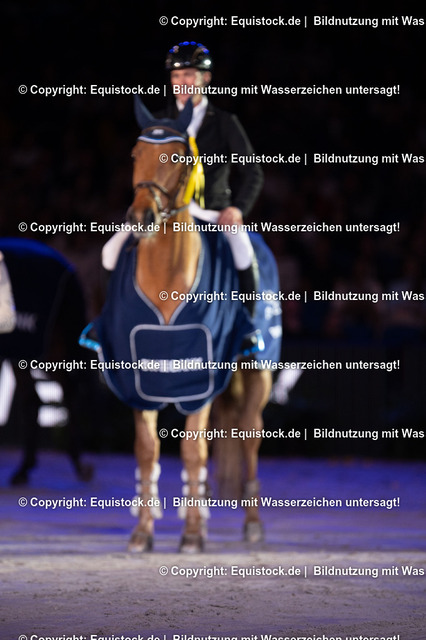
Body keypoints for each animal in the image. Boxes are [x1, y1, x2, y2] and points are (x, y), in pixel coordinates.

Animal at [87, 97, 281, 552]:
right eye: (135, 155)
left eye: (177, 157)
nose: (141, 217)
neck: (165, 277)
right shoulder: (138, 377)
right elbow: (147, 452)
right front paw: (143, 533)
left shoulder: (200, 377)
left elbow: (194, 451)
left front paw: (191, 535)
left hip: (257, 373)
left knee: (249, 435)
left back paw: (252, 526)